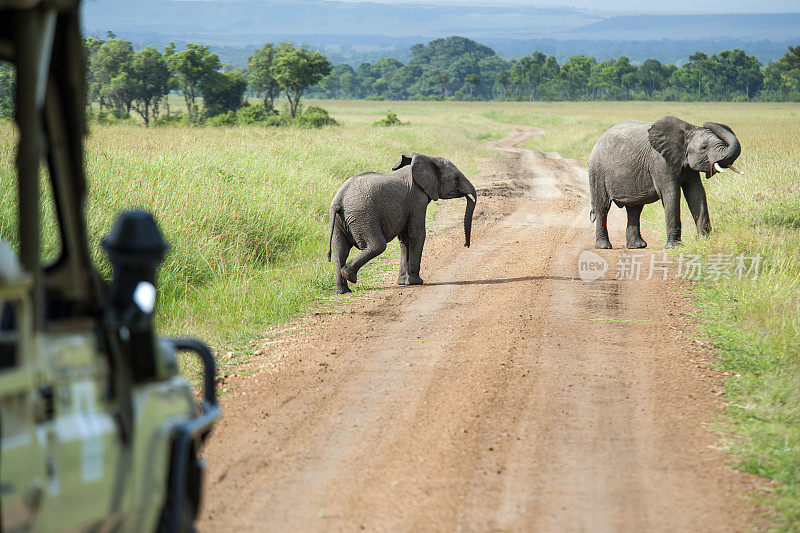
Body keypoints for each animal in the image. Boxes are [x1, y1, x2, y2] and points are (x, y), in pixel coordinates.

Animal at [328, 154, 478, 294]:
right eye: (456, 178)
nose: (466, 245)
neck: (428, 159)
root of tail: (339, 200)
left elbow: (405, 238)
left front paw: (402, 282)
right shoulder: (418, 199)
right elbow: (416, 234)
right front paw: (415, 282)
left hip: (340, 221)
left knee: (340, 250)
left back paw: (343, 290)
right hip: (363, 215)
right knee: (377, 245)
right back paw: (349, 276)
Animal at [588, 115, 744, 248]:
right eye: (704, 148)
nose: (706, 123)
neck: (687, 132)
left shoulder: (687, 166)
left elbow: (696, 193)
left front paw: (705, 241)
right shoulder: (660, 161)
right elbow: (671, 194)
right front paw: (675, 246)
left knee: (635, 208)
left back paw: (638, 246)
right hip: (597, 171)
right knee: (602, 207)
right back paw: (604, 246)